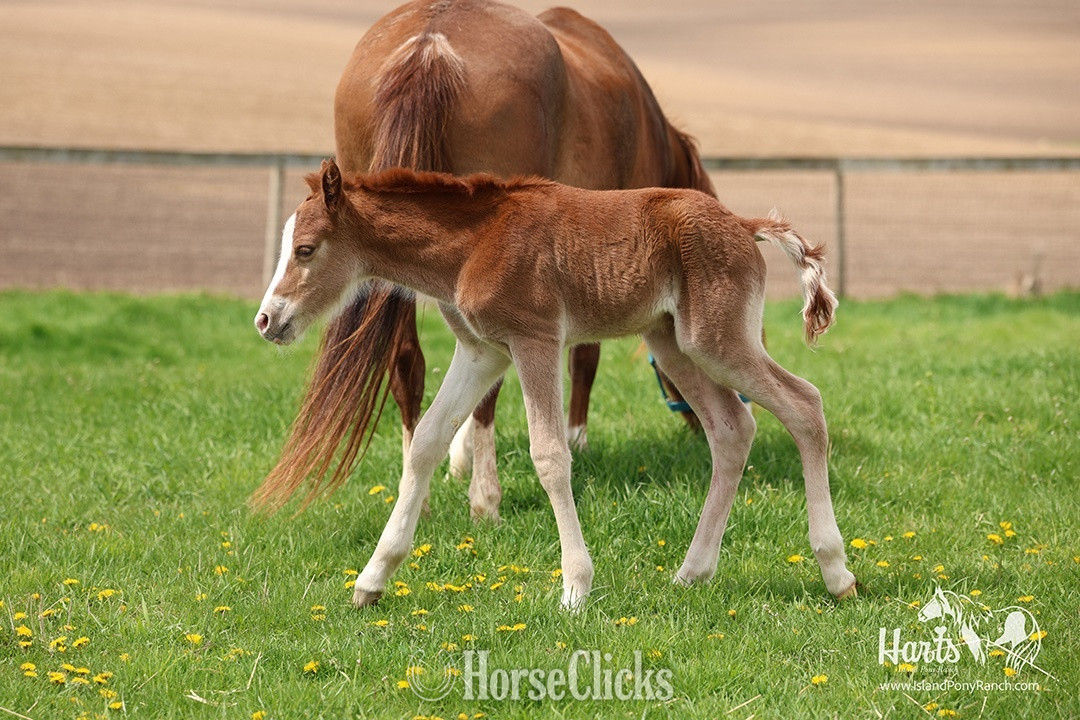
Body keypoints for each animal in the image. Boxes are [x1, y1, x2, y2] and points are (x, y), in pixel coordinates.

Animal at [251, 0, 713, 521]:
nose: (699, 427)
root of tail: (430, 46)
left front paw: (456, 457)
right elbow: (584, 355)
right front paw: (573, 439)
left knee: (407, 362)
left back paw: (418, 498)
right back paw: (485, 499)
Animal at [253, 160, 858, 609]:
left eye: (306, 248)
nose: (265, 320)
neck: (472, 245)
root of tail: (741, 221)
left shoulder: (535, 340)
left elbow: (549, 454)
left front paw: (575, 589)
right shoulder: (482, 352)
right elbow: (425, 443)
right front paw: (372, 580)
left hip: (717, 339)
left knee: (805, 404)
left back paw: (836, 572)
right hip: (674, 342)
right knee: (732, 428)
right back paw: (692, 571)